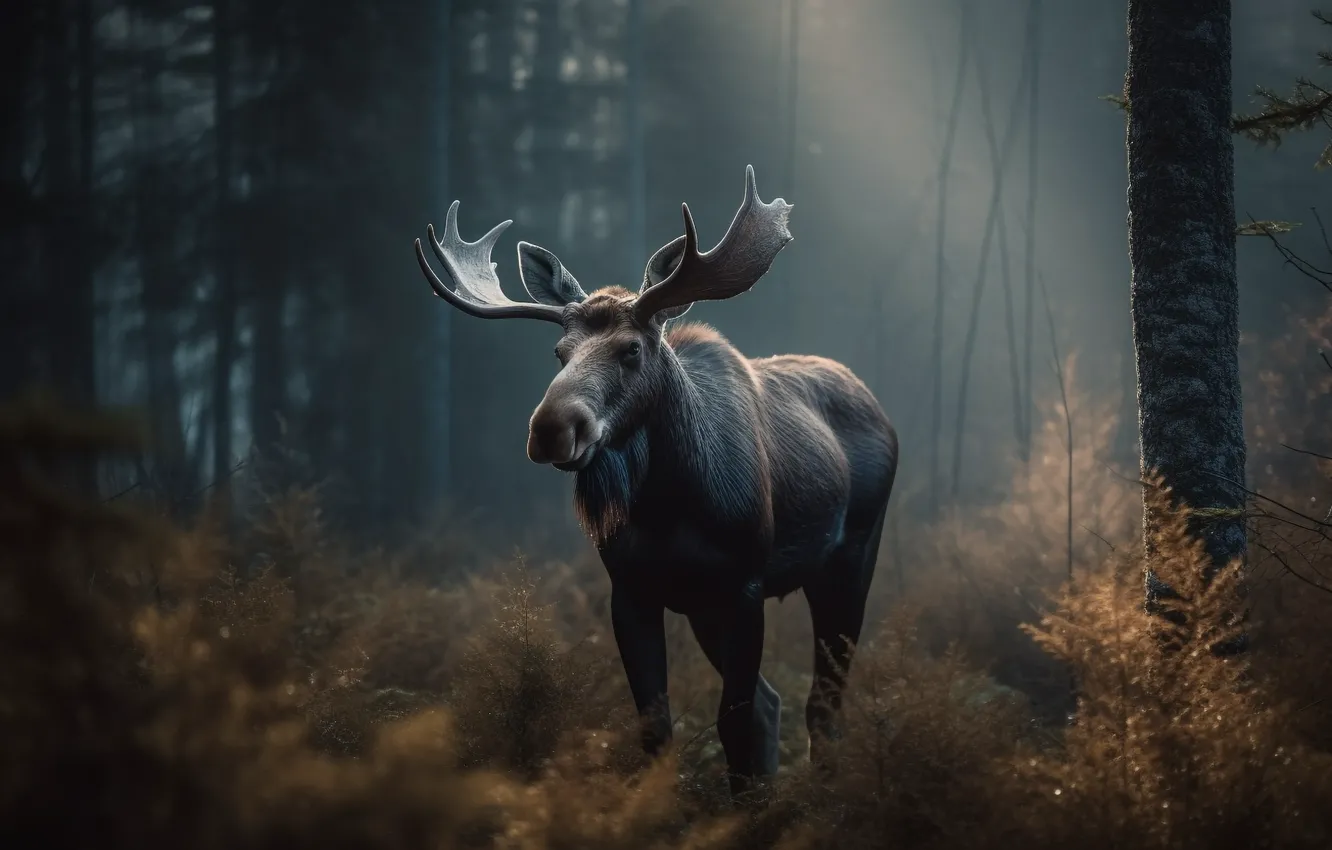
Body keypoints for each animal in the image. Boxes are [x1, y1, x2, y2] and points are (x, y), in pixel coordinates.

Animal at [413, 166, 898, 798]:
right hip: (706, 606)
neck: (669, 504)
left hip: (850, 559)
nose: (551, 428)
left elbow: (732, 722)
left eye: (631, 349)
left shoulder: (744, 585)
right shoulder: (634, 589)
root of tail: (881, 413)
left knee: (822, 703)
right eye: (559, 351)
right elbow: (656, 723)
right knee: (775, 702)